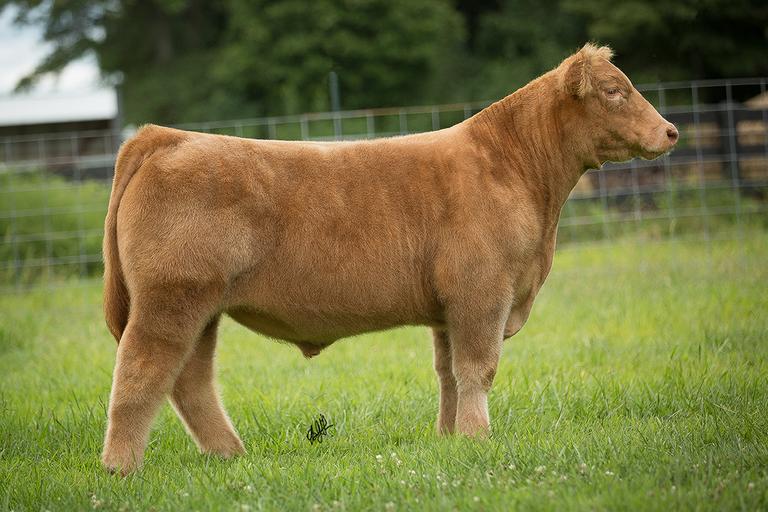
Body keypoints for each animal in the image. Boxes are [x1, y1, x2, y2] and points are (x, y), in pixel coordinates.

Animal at [101, 43, 678, 474]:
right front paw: (479, 439)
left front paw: (450, 439)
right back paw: (121, 468)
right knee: (141, 373)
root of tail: (169, 137)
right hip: (173, 297)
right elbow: (478, 369)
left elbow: (448, 373)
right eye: (614, 90)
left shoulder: (450, 308)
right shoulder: (483, 292)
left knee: (190, 380)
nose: (671, 131)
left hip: (202, 308)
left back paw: (231, 456)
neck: (517, 171)